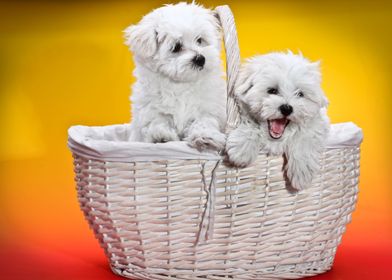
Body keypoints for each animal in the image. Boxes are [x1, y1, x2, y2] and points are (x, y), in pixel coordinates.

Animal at [122, 2, 227, 151]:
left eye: (199, 40)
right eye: (176, 47)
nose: (200, 59)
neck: (180, 85)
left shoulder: (208, 108)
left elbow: (204, 121)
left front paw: (205, 136)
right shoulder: (150, 109)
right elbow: (158, 121)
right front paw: (160, 136)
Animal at [225, 51, 330, 190]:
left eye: (300, 94)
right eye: (272, 90)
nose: (286, 108)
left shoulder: (316, 125)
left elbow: (304, 137)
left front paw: (302, 172)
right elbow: (252, 126)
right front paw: (242, 149)